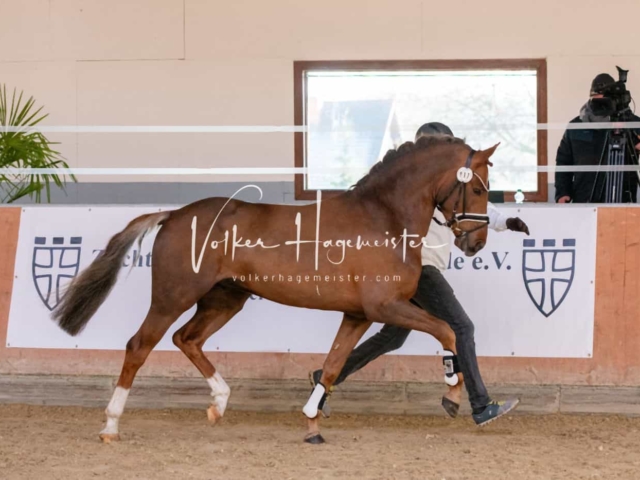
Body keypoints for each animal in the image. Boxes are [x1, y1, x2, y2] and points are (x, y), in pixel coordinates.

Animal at [52, 134, 498, 442]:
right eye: (478, 189)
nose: (475, 244)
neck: (384, 218)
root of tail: (174, 215)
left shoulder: (357, 315)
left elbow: (333, 365)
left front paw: (312, 424)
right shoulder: (384, 306)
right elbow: (447, 331)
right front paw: (453, 398)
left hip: (225, 299)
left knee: (187, 339)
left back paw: (219, 404)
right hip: (172, 297)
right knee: (139, 346)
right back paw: (111, 425)